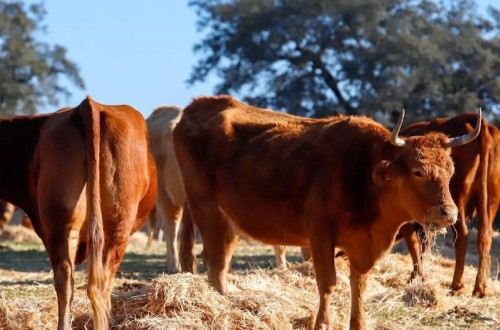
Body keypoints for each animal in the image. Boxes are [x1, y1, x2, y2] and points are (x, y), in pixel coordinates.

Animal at [173, 95, 480, 330]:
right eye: (417, 171)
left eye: (450, 171)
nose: (447, 213)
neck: (365, 174)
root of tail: (198, 105)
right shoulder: (320, 234)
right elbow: (328, 283)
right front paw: (322, 323)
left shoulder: (361, 245)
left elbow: (359, 284)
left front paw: (358, 323)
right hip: (207, 210)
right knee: (214, 262)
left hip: (228, 220)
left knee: (221, 265)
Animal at [398, 114, 500, 298]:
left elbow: (416, 245)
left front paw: (415, 278)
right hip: (491, 197)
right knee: (485, 235)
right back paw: (480, 287)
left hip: (456, 202)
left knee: (462, 236)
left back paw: (457, 285)